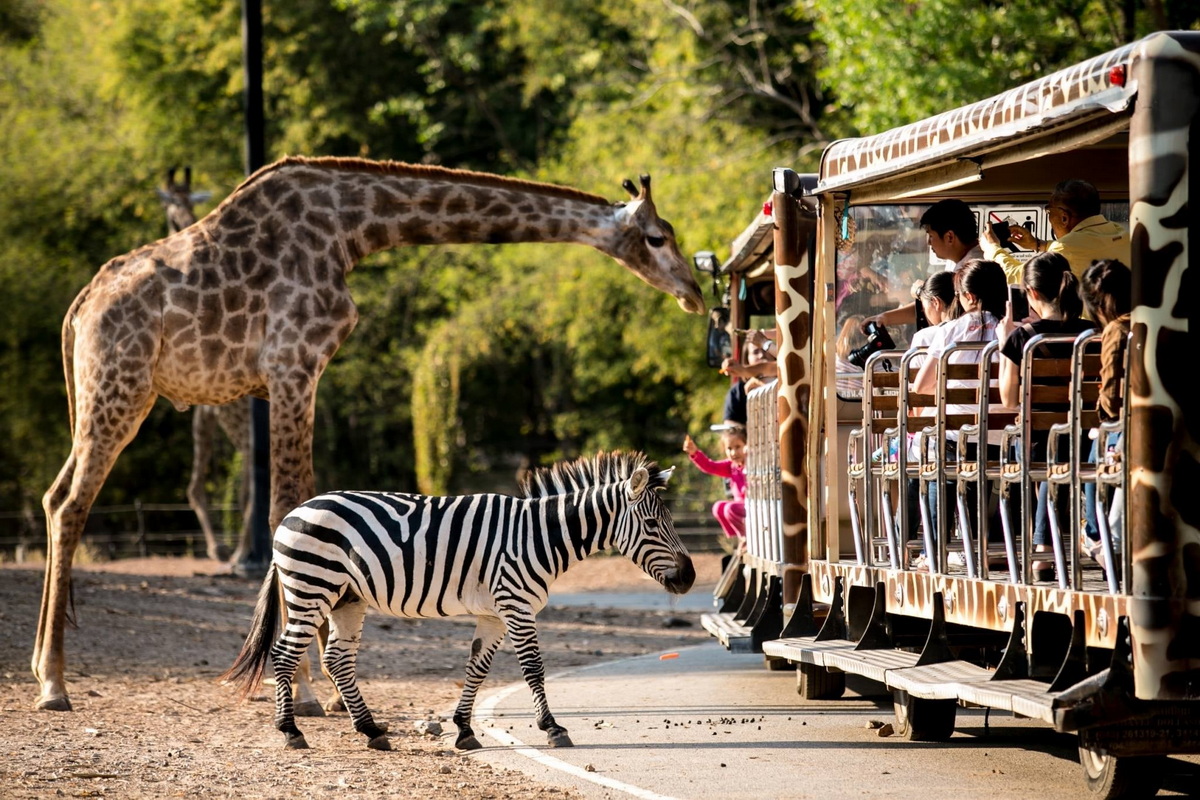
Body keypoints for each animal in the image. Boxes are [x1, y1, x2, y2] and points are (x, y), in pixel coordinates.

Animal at [32, 153, 705, 710]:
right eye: (657, 236)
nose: (695, 293)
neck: (351, 228)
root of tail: (78, 309)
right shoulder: (292, 364)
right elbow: (286, 505)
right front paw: (307, 690)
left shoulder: (294, 375)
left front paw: (327, 690)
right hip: (121, 388)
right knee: (72, 503)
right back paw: (54, 685)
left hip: (102, 395)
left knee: (53, 495)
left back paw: (47, 670)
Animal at [223, 450, 696, 753]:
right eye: (652, 524)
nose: (690, 577)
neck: (537, 537)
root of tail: (292, 514)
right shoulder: (516, 604)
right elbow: (533, 668)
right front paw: (552, 728)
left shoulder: (495, 613)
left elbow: (477, 668)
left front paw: (464, 730)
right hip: (311, 587)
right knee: (285, 655)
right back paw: (291, 732)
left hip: (347, 599)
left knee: (338, 660)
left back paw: (372, 731)